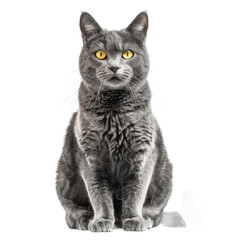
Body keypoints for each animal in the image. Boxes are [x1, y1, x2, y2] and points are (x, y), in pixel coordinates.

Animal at [56, 11, 172, 232]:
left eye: (127, 54)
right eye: (100, 54)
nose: (114, 66)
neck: (115, 111)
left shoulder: (143, 151)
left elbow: (136, 190)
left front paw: (133, 219)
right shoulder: (89, 155)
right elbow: (98, 193)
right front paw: (101, 221)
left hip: (165, 175)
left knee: (156, 210)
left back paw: (144, 218)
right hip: (63, 176)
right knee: (71, 212)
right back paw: (86, 219)